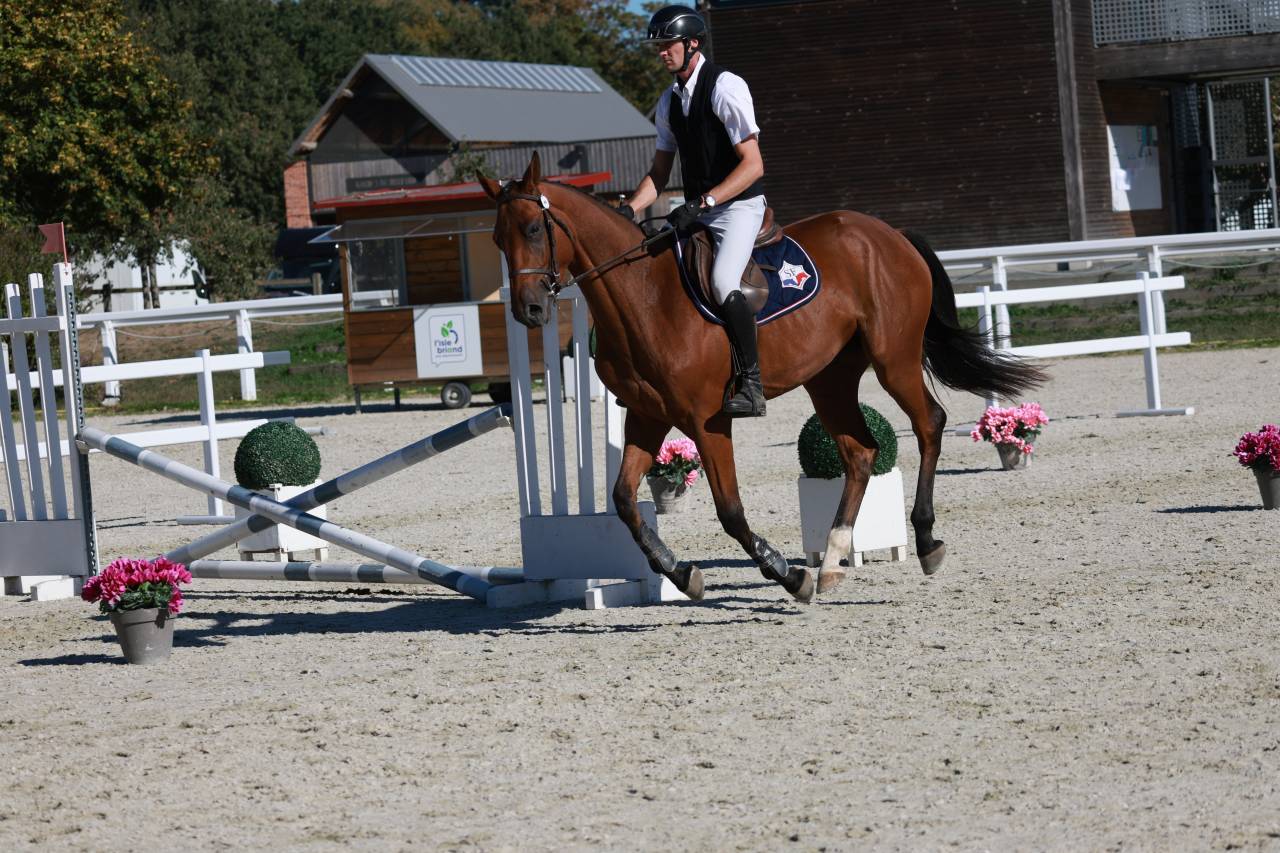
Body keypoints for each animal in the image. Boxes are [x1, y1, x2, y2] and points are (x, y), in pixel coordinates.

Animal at [480, 153, 1043, 604]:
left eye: (534, 230)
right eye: (497, 239)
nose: (530, 311)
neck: (644, 296)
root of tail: (888, 233)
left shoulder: (707, 421)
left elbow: (730, 510)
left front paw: (785, 574)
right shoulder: (646, 415)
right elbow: (622, 501)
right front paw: (681, 574)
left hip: (894, 359)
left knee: (929, 424)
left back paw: (923, 542)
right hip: (829, 378)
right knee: (860, 452)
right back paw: (833, 559)